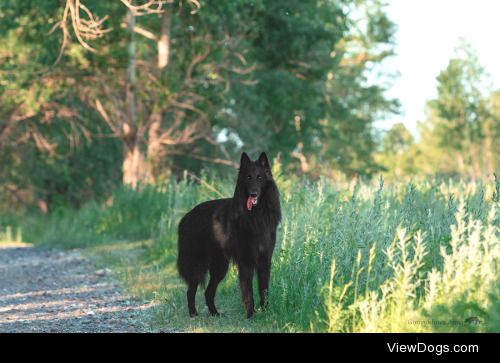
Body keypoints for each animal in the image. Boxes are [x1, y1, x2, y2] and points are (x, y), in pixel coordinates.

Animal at [178, 152, 282, 318]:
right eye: (248, 177)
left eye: (259, 177)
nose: (253, 194)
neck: (256, 215)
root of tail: (185, 217)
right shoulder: (246, 262)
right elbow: (248, 292)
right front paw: (250, 315)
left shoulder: (264, 261)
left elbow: (264, 290)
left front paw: (265, 312)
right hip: (199, 265)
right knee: (191, 291)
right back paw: (193, 314)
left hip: (220, 268)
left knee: (208, 292)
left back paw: (215, 313)